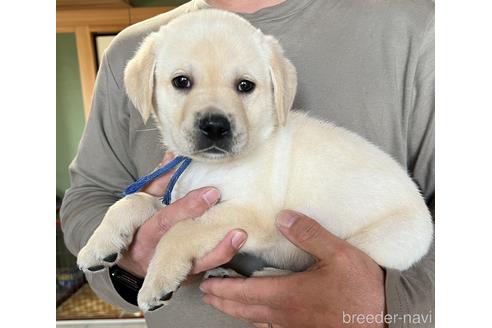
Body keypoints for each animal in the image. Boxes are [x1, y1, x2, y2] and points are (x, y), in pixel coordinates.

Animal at [76, 9, 430, 312]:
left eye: (245, 86)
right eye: (181, 82)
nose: (215, 126)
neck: (207, 165)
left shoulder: (250, 214)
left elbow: (181, 229)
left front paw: (157, 282)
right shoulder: (179, 197)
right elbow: (133, 201)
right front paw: (98, 243)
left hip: (376, 244)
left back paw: (267, 276)